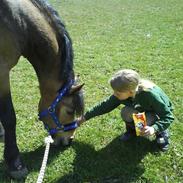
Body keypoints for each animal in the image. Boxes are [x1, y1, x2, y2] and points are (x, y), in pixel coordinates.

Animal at [0, 0, 83, 179]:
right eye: (69, 110)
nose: (69, 140)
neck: (17, 22)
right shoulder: (2, 71)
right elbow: (9, 117)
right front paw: (14, 162)